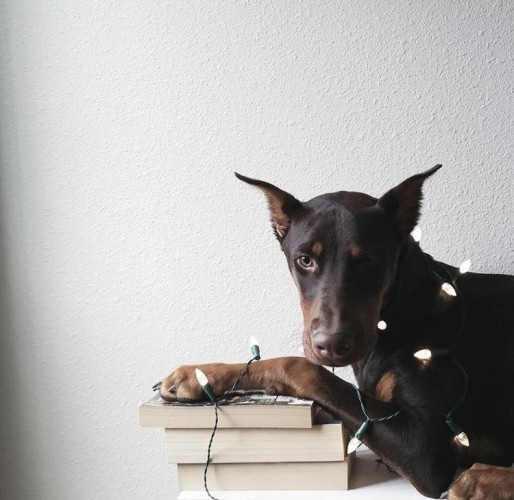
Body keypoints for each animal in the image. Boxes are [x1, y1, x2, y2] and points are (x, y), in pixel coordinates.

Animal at [158, 167, 510, 496]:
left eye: (369, 260)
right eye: (305, 259)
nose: (331, 345)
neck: (401, 307)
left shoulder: (426, 446)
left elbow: (302, 366)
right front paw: (200, 374)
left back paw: (481, 479)